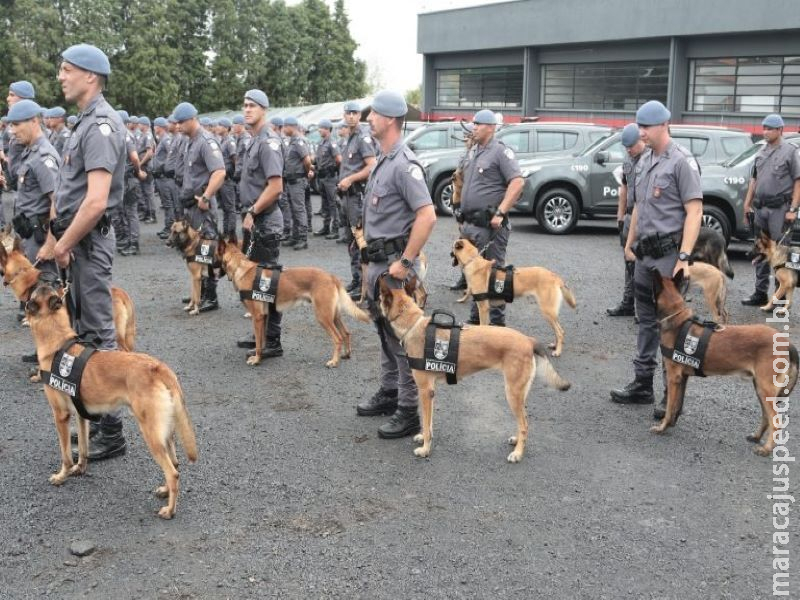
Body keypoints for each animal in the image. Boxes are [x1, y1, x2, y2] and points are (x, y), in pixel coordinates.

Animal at [23, 280, 198, 516]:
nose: (56, 280)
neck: (58, 341)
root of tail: (158, 367)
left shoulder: (61, 416)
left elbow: (66, 455)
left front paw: (62, 476)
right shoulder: (81, 416)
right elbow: (84, 449)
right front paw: (80, 468)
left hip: (151, 434)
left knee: (173, 472)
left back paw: (169, 510)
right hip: (165, 433)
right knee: (175, 463)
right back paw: (164, 490)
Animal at [216, 237, 372, 368]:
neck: (239, 267)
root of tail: (331, 276)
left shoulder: (257, 317)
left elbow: (259, 343)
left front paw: (256, 359)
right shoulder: (264, 316)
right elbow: (263, 340)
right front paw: (263, 355)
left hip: (323, 317)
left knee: (338, 338)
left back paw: (334, 361)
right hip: (333, 315)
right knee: (346, 333)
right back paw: (346, 354)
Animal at [378, 278, 572, 464]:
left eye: (379, 299)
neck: (413, 324)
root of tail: (528, 340)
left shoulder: (425, 391)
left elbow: (425, 423)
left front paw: (425, 449)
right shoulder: (431, 392)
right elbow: (429, 422)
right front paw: (424, 439)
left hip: (512, 393)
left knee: (524, 424)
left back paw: (517, 453)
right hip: (519, 394)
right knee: (523, 422)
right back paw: (517, 441)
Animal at [652, 270, 796, 458]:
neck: (677, 318)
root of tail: (786, 342)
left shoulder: (673, 377)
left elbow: (670, 407)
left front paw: (662, 426)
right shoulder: (682, 378)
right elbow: (677, 405)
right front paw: (671, 424)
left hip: (765, 389)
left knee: (775, 420)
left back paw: (766, 448)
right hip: (760, 388)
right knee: (766, 416)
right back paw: (756, 437)